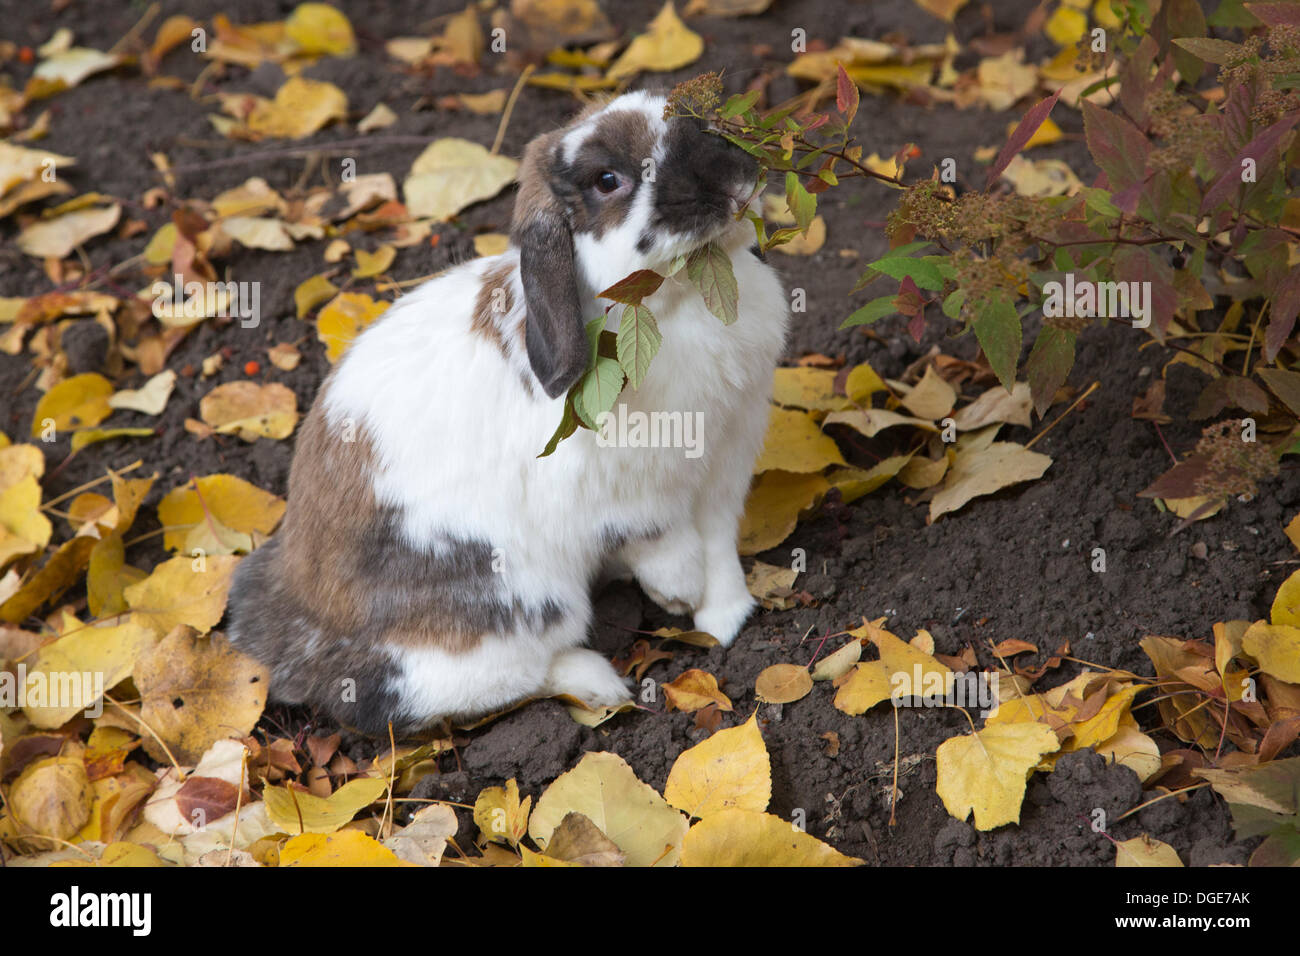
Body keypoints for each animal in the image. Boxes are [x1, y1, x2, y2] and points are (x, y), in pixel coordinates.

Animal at [227, 91, 785, 733]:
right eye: (607, 180)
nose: (733, 176)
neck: (683, 301)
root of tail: (290, 621)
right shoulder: (633, 496)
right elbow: (663, 543)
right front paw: (680, 594)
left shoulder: (725, 466)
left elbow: (718, 542)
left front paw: (725, 618)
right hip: (511, 604)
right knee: (439, 690)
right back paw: (597, 681)